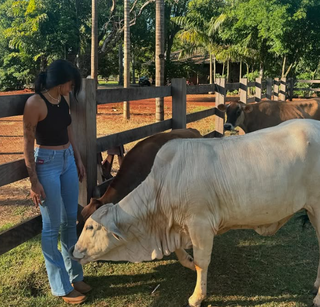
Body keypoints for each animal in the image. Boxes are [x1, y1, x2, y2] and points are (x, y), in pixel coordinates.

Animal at [70, 119, 320, 307]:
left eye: (89, 226)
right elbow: (182, 254)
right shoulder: (178, 224)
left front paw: (197, 296)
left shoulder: (201, 225)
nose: (74, 251)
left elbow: (202, 261)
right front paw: (188, 262)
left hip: (317, 209)